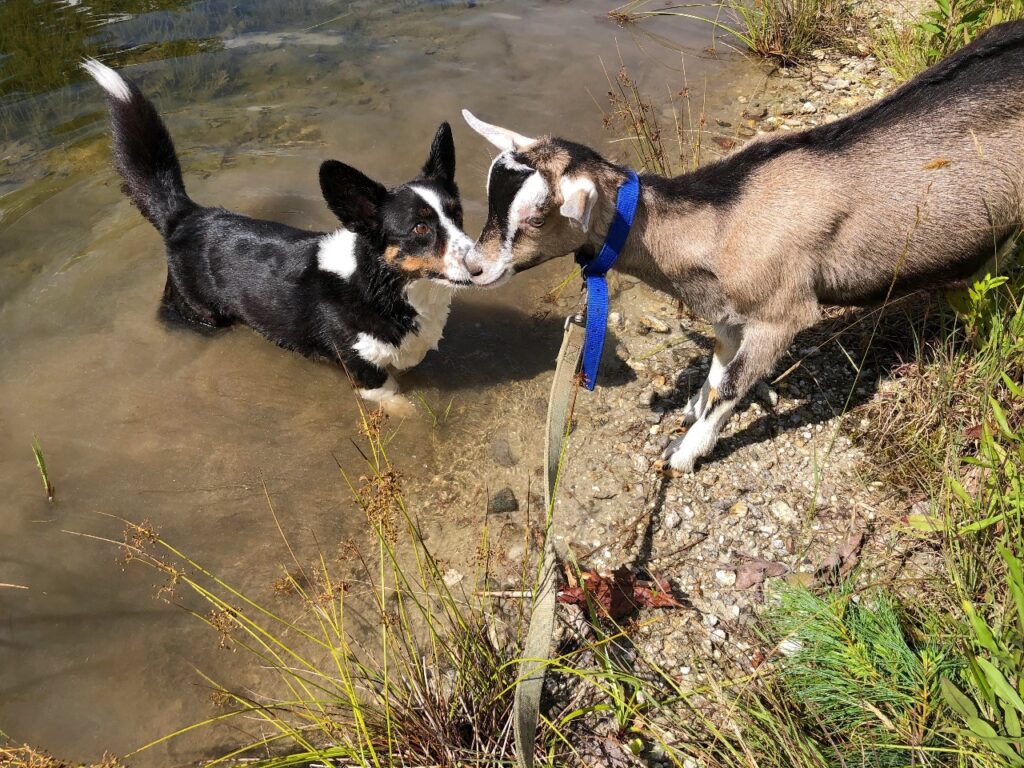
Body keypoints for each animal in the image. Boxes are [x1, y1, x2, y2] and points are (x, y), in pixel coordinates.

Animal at [461, 20, 1024, 474]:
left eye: (536, 215)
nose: (472, 265)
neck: (724, 218)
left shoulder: (783, 313)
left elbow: (732, 387)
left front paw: (684, 452)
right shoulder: (730, 314)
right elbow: (717, 371)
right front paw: (692, 409)